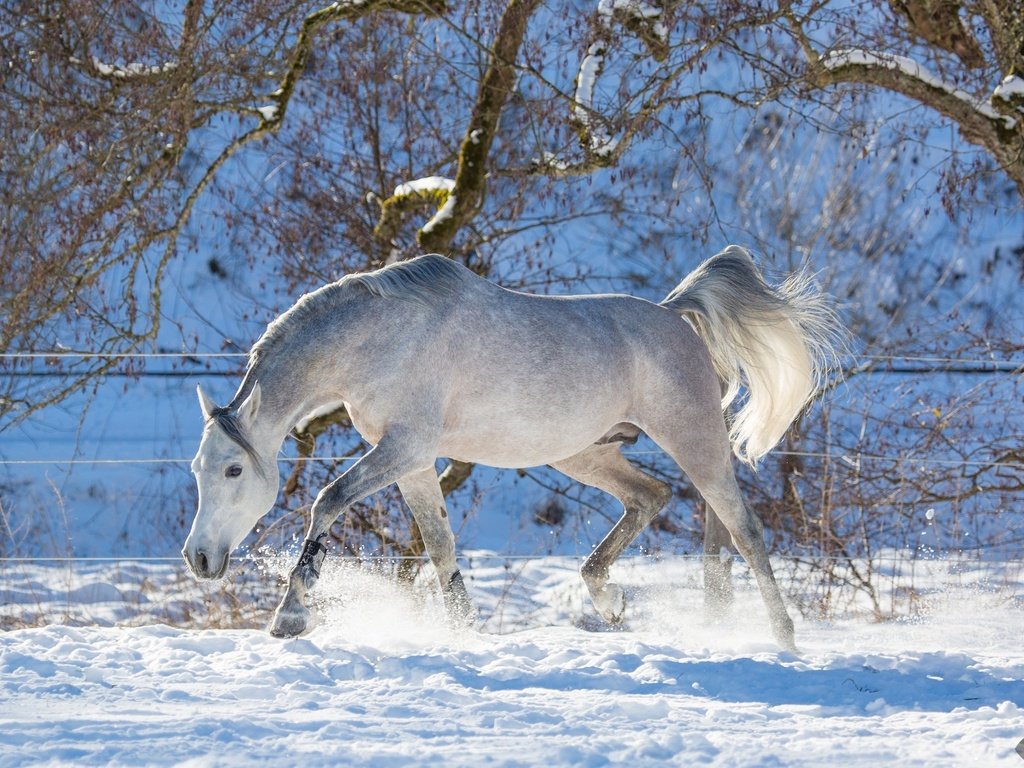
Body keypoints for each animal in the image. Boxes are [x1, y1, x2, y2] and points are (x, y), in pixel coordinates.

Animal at [182, 247, 839, 651]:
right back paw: (609, 601)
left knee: (743, 529)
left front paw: (289, 617)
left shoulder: (404, 447)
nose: (199, 559)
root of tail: (673, 315)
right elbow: (440, 546)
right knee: (651, 498)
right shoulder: (412, 461)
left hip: (695, 440)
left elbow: (328, 500)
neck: (379, 339)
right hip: (581, 452)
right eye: (197, 470)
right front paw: (463, 634)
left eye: (234, 470)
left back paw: (782, 637)